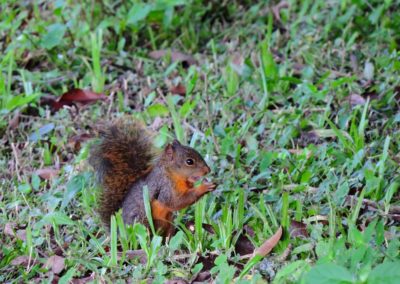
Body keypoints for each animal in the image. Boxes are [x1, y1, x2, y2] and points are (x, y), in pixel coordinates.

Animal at [88, 120, 216, 237]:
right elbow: (175, 202)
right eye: (189, 161)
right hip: (143, 222)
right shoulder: (165, 186)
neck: (170, 173)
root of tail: (121, 234)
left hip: (168, 220)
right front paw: (204, 187)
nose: (208, 170)